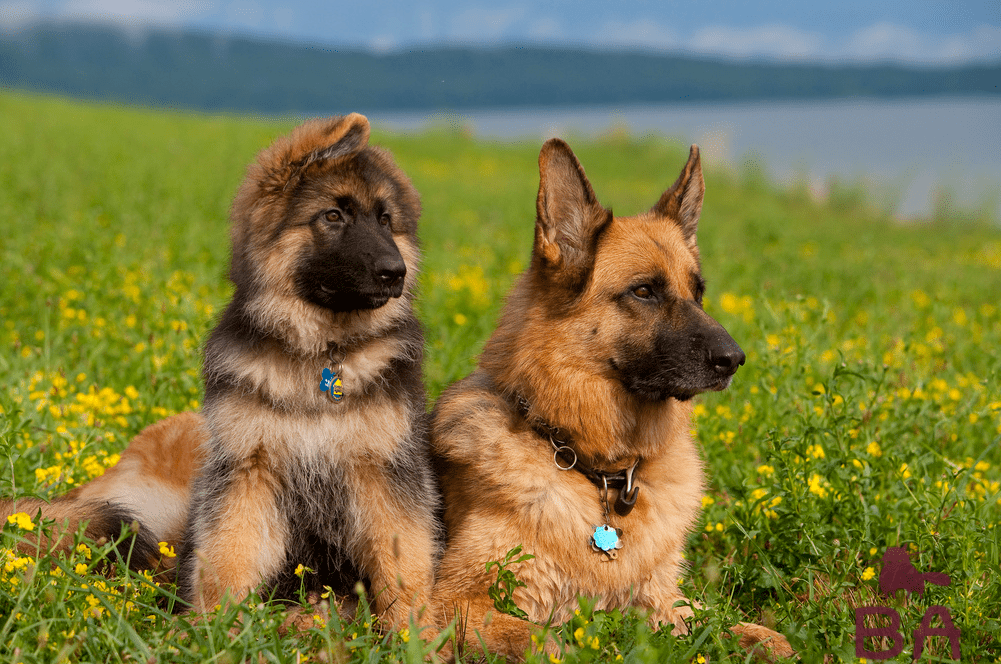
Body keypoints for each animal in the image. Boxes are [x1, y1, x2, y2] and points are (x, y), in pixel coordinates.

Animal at [1, 113, 438, 628]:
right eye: (334, 216)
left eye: (386, 220)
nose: (396, 272)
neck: (320, 355)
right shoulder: (248, 472)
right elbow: (228, 556)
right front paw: (213, 631)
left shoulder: (384, 475)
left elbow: (403, 564)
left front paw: (413, 634)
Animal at [434, 139, 792, 660]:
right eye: (644, 291)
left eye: (699, 292)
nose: (735, 359)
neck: (593, 466)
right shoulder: (449, 603)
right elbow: (542, 640)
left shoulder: (662, 601)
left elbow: (723, 623)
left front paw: (765, 639)